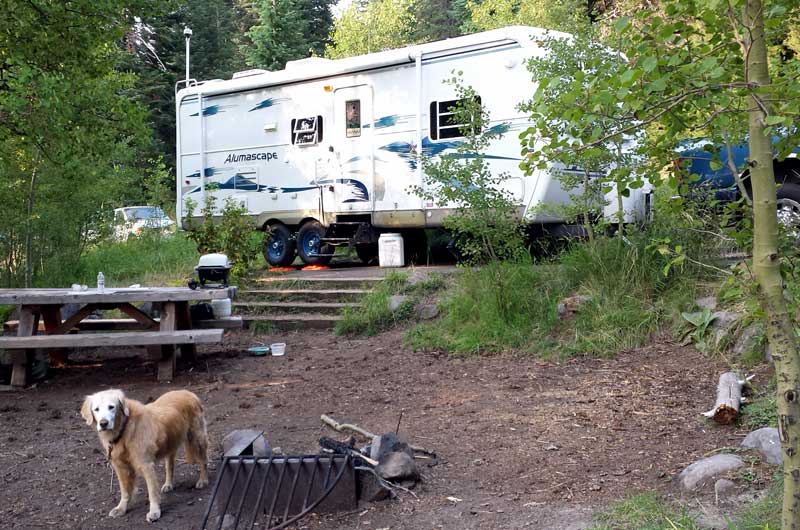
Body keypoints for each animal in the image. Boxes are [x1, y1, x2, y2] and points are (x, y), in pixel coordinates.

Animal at [79, 388, 206, 520]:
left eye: (111, 407)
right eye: (96, 409)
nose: (103, 423)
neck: (124, 430)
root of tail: (188, 392)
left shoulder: (145, 464)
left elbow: (152, 491)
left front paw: (154, 511)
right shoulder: (120, 467)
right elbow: (125, 491)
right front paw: (121, 508)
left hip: (197, 439)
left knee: (203, 461)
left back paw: (202, 480)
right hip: (170, 442)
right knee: (170, 465)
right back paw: (168, 484)